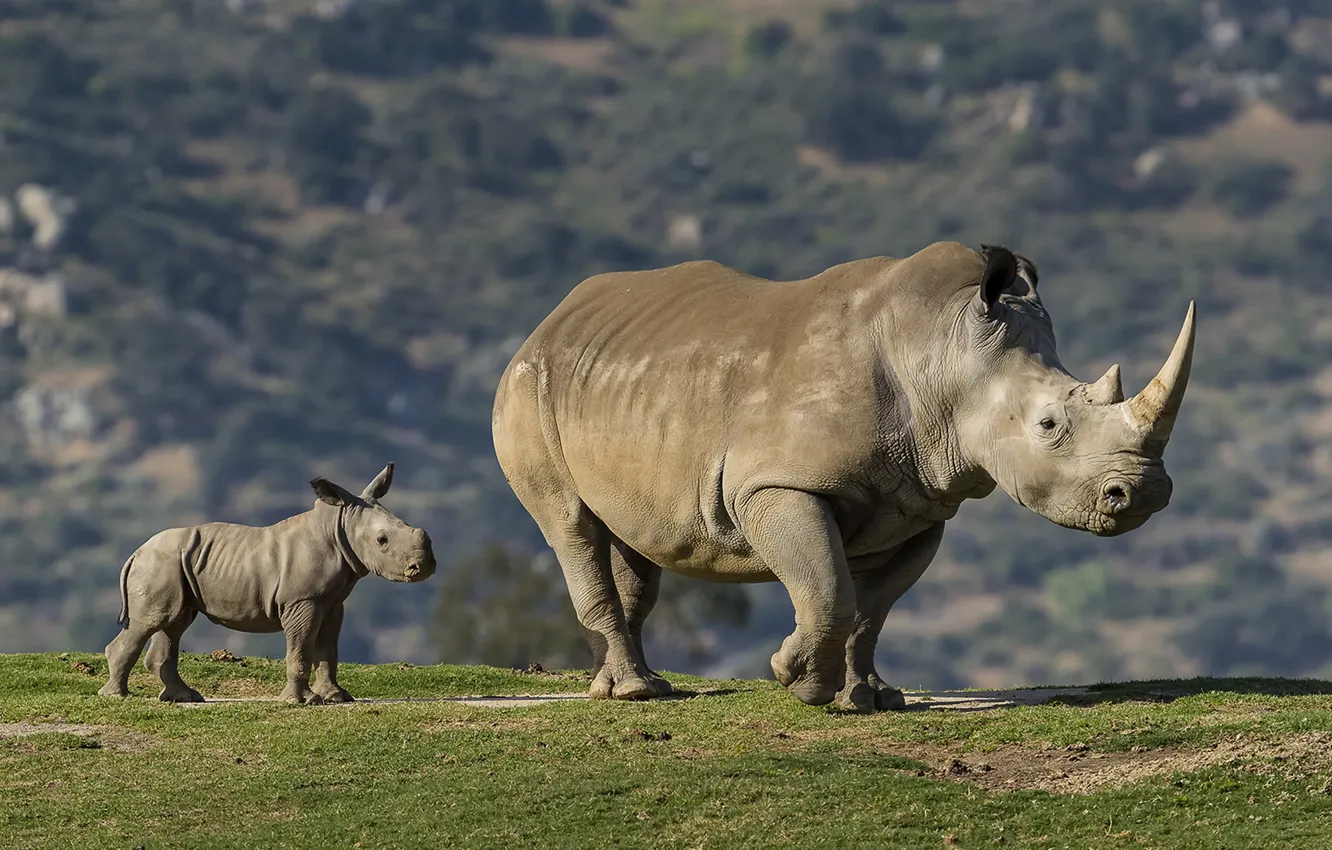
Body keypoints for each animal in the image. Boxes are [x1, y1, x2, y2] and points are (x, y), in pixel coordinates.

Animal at [98, 463, 436, 704]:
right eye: (382, 541)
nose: (424, 567)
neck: (337, 526)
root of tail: (136, 552)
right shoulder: (302, 601)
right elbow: (302, 648)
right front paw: (303, 701)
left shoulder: (331, 602)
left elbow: (328, 649)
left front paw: (337, 697)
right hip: (159, 564)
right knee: (150, 622)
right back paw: (118, 696)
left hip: (177, 565)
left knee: (175, 622)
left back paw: (185, 698)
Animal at [491, 242, 1195, 711]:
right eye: (1049, 424)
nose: (1145, 493)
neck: (944, 350)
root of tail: (549, 320)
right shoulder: (775, 485)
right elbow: (829, 588)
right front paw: (798, 679)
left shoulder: (922, 505)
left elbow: (873, 607)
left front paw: (874, 699)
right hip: (527, 386)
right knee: (570, 525)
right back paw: (634, 693)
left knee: (635, 539)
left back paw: (637, 685)